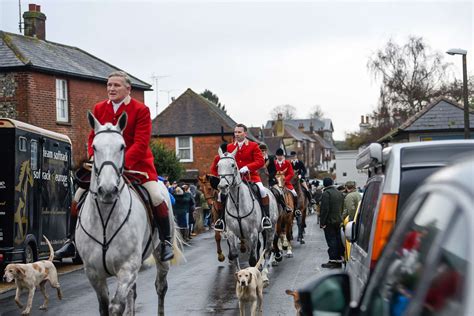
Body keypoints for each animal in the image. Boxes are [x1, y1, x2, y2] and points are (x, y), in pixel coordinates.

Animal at [77, 112, 182, 314]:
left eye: (122, 146)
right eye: (94, 146)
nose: (107, 190)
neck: (105, 219)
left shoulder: (127, 268)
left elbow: (116, 306)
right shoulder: (94, 273)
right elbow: (105, 306)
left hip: (160, 255)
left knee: (160, 287)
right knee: (133, 294)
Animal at [216, 147, 278, 286]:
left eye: (233, 165)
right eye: (218, 165)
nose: (222, 187)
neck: (238, 202)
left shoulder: (253, 233)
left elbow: (252, 259)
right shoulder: (231, 232)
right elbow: (234, 254)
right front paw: (239, 277)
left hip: (270, 229)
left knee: (267, 250)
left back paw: (264, 275)